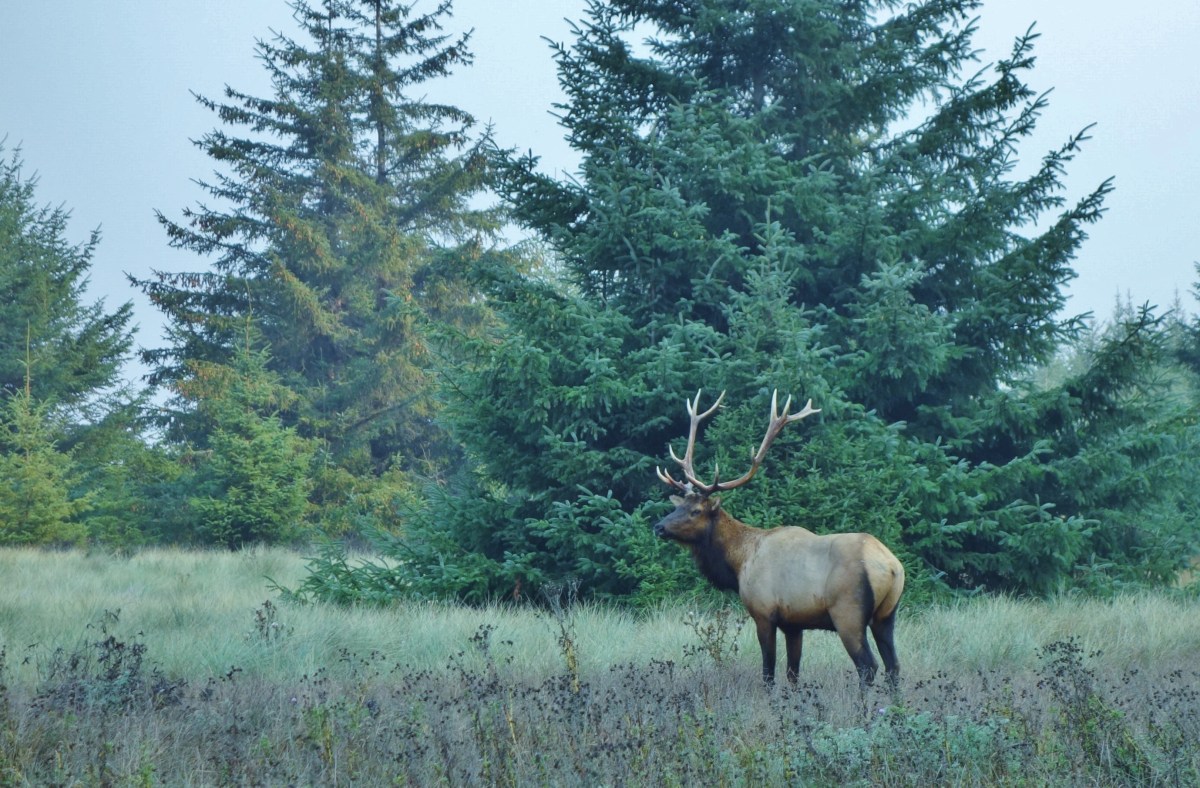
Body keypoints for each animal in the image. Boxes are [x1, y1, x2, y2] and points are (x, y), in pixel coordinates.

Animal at [653, 390, 904, 687]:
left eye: (695, 511)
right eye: (678, 506)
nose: (658, 527)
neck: (739, 563)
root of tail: (891, 566)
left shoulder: (764, 612)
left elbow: (768, 673)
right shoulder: (793, 623)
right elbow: (793, 674)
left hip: (848, 613)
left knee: (868, 667)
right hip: (886, 616)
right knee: (893, 666)